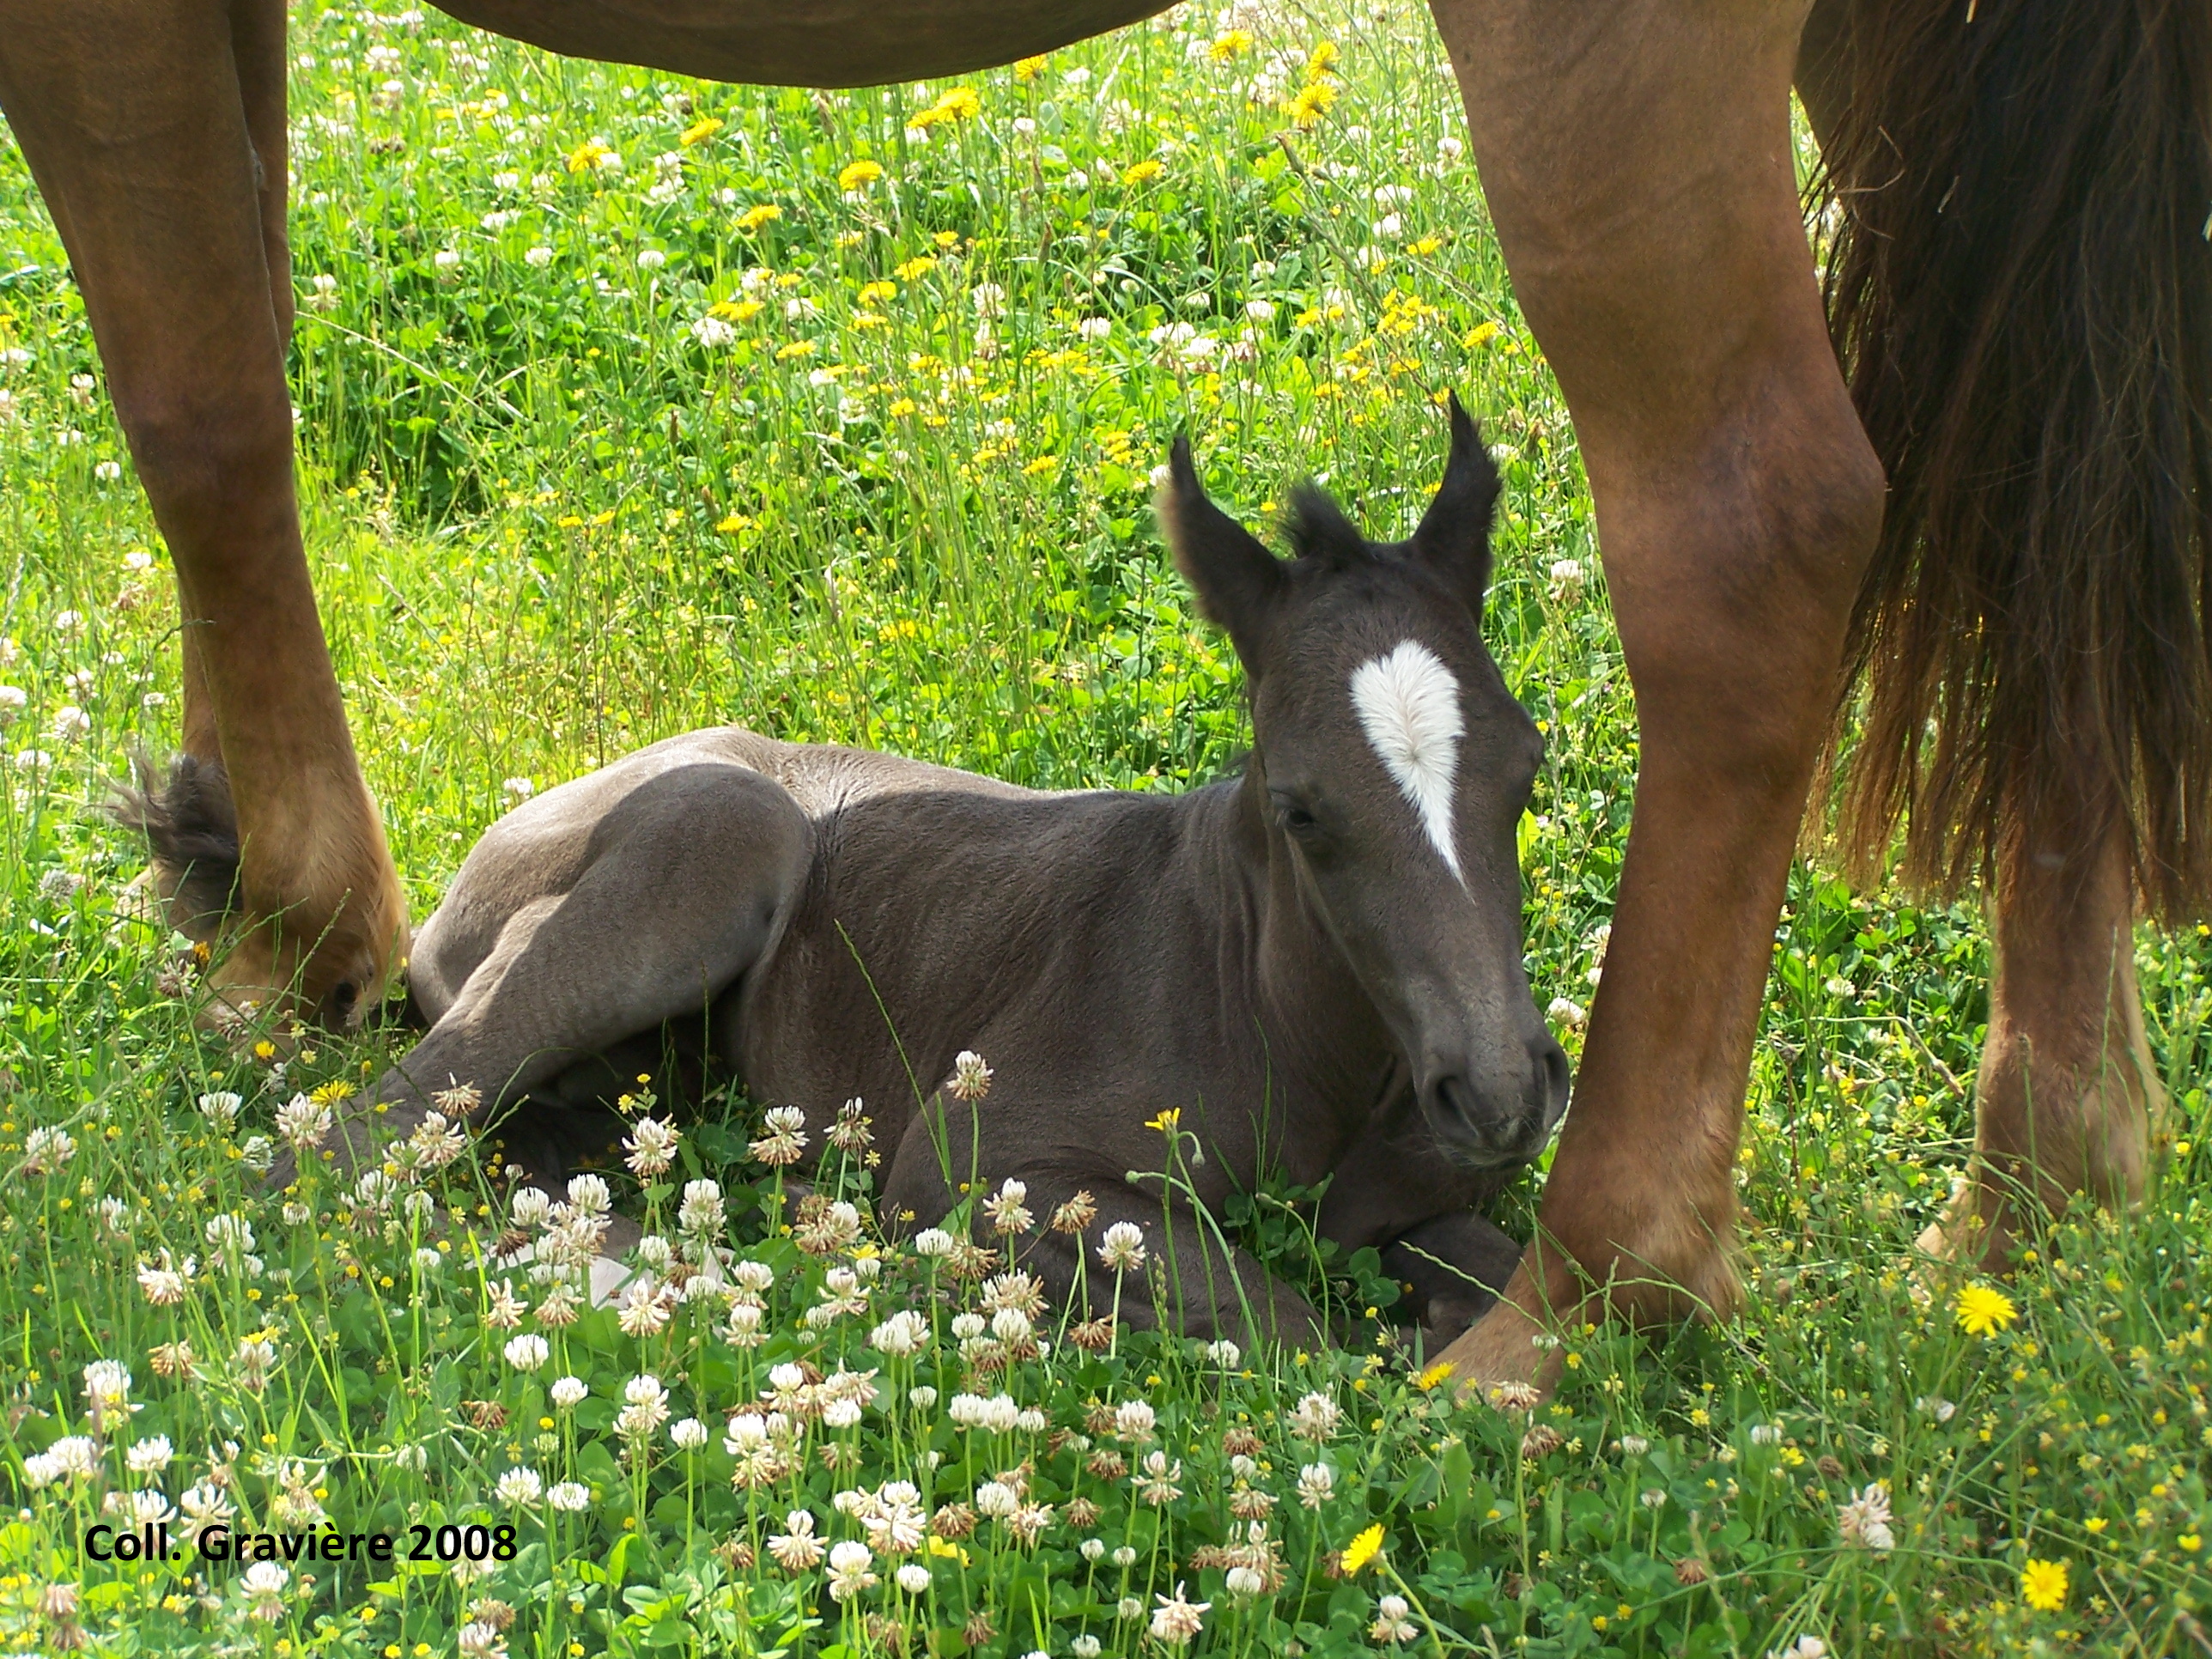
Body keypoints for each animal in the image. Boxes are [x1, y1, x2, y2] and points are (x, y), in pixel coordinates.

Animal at [307, 402, 1575, 1353]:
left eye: (1528, 766)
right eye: (1300, 809)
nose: (1503, 1092)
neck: (1286, 1026)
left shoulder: (1418, 1209)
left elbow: (1534, 1308)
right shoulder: (976, 1169)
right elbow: (1290, 1333)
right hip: (715, 839)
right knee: (353, 1138)